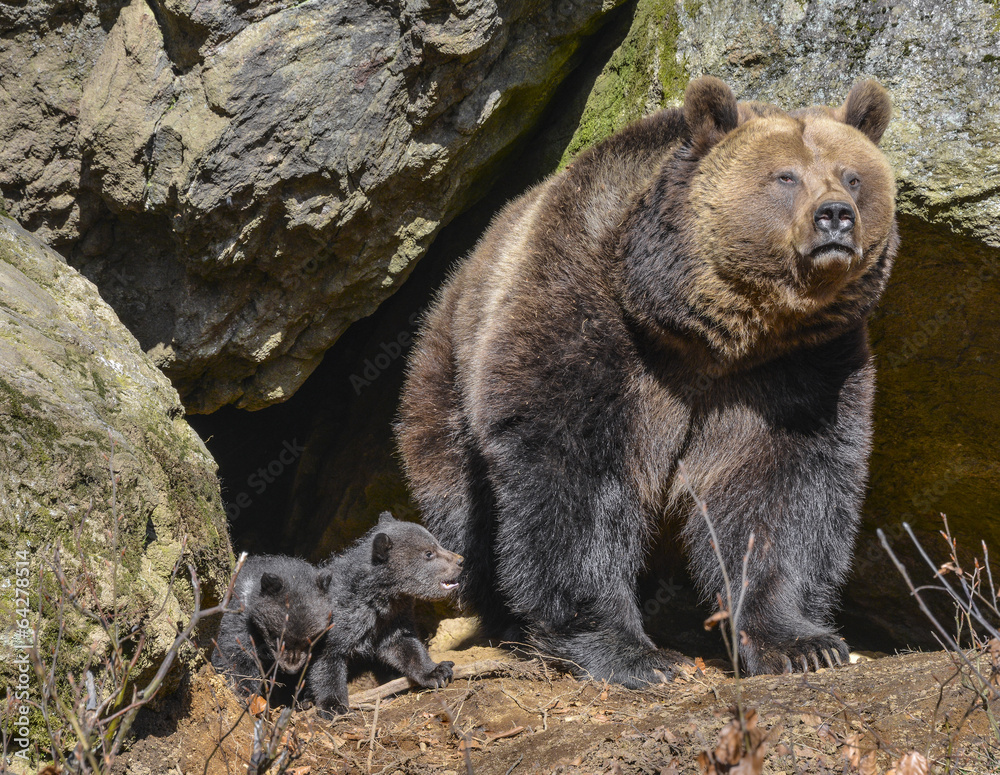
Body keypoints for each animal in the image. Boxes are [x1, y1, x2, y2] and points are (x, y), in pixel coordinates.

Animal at [212, 555, 333, 701]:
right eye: (276, 636)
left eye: (311, 639)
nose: (291, 670)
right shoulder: (238, 625)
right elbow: (234, 657)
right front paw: (246, 692)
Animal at [307, 512, 464, 714]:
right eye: (428, 553)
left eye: (437, 543)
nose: (460, 560)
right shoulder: (335, 623)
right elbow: (327, 660)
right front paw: (333, 704)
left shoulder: (392, 619)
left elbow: (405, 646)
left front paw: (437, 671)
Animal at [396, 76, 897, 684]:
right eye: (785, 176)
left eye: (853, 175)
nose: (836, 215)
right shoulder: (593, 326)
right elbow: (574, 472)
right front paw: (631, 651)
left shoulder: (799, 369)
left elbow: (783, 491)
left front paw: (799, 642)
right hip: (444, 381)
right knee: (465, 507)